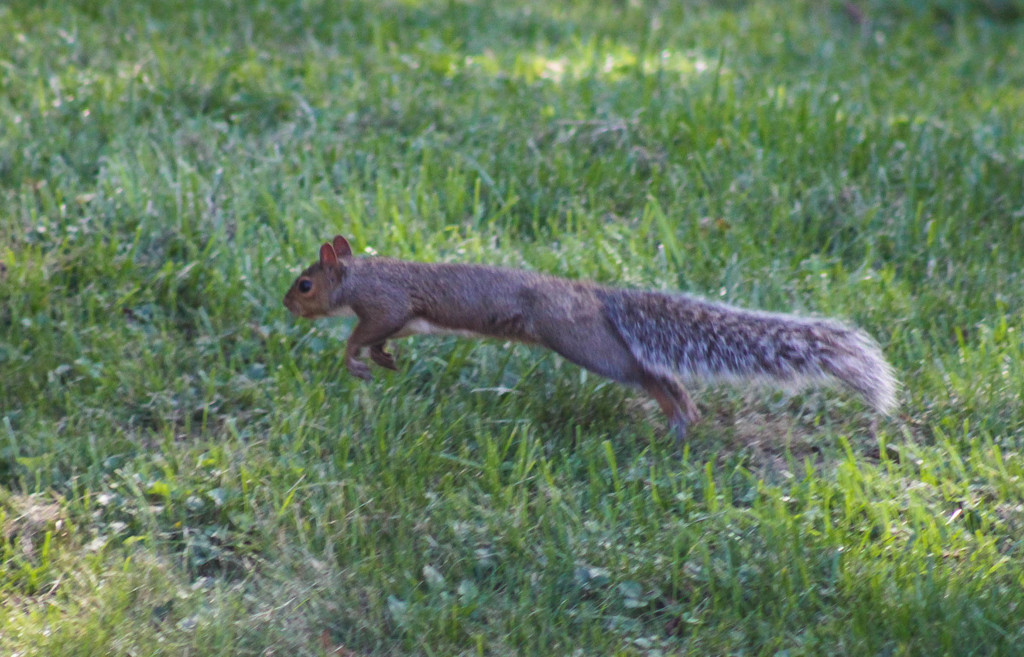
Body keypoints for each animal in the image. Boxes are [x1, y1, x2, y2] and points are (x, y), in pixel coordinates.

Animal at [282, 235, 897, 440]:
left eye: (305, 283)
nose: (287, 305)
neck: (359, 276)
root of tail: (597, 295)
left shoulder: (384, 304)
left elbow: (360, 334)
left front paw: (354, 360)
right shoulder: (399, 319)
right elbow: (383, 340)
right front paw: (383, 362)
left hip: (587, 345)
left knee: (650, 373)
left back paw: (680, 417)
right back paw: (684, 419)